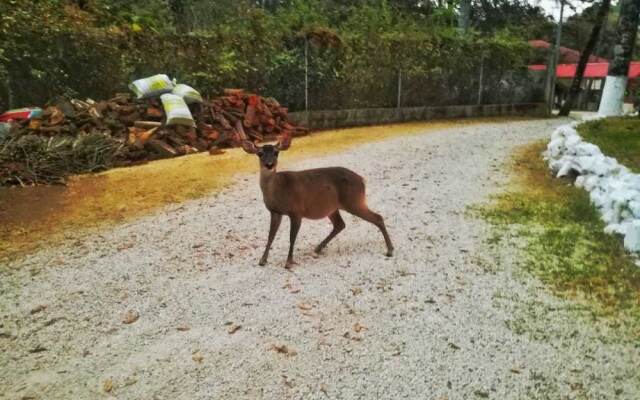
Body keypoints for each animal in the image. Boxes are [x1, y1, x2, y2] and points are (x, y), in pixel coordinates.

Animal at [242, 135, 392, 268]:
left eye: (276, 152)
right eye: (260, 153)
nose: (269, 164)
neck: (279, 190)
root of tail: (362, 180)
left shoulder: (296, 211)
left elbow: (292, 237)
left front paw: (288, 262)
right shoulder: (275, 211)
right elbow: (270, 236)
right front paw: (262, 260)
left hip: (354, 200)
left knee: (378, 217)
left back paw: (390, 250)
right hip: (333, 207)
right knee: (340, 224)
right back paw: (318, 248)